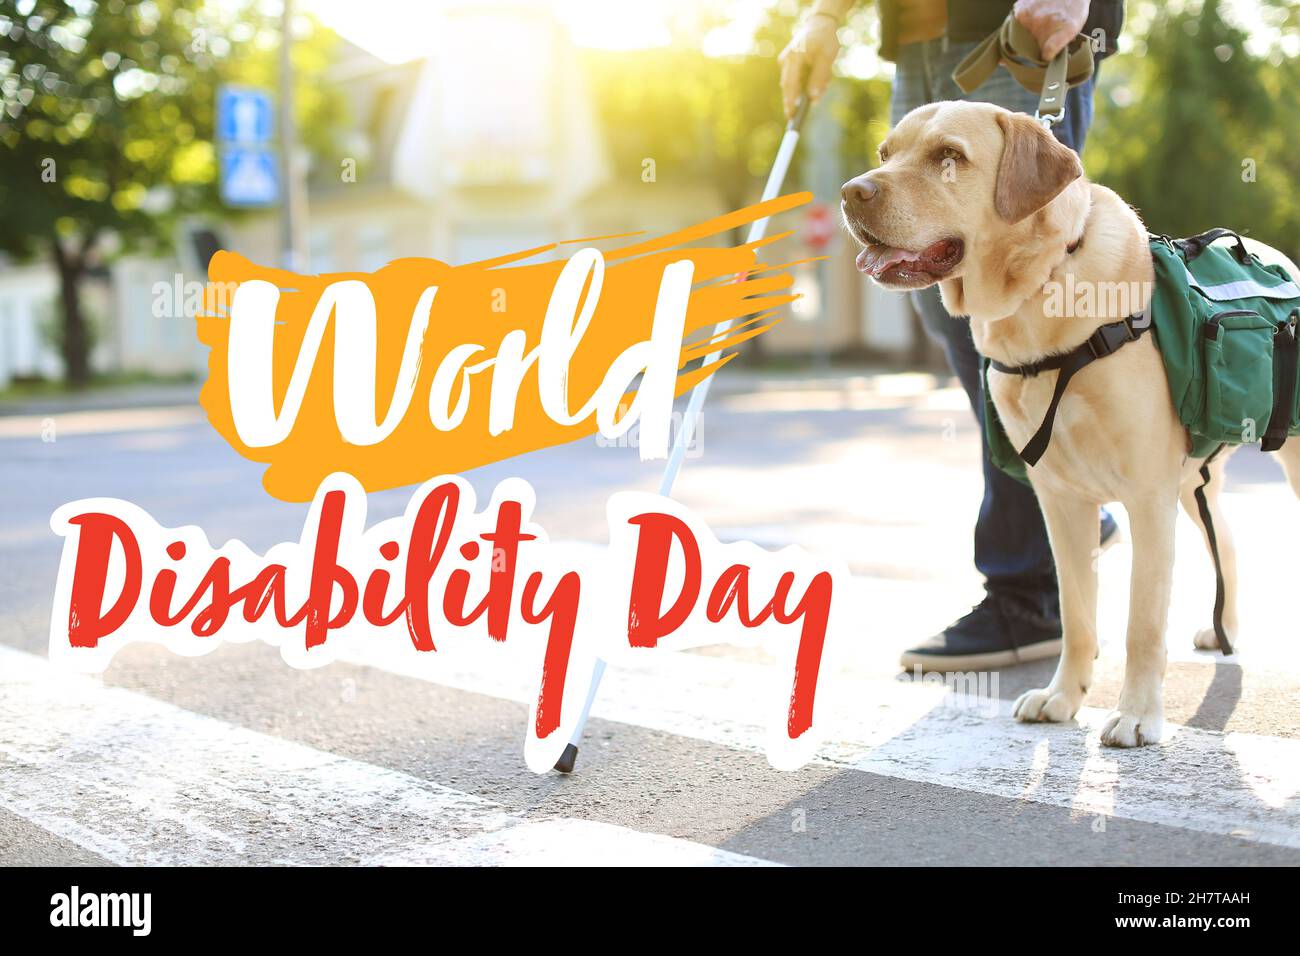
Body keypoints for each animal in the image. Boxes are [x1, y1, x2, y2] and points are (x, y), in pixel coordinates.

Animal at [842, 100, 1300, 749]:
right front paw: (1063, 698)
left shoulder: (1147, 497)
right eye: (885, 153)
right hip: (1193, 480)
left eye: (948, 157)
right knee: (1227, 538)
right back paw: (1224, 629)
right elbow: (1077, 613)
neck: (1040, 294)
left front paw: (1137, 715)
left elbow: (1140, 623)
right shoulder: (1060, 499)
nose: (851, 192)